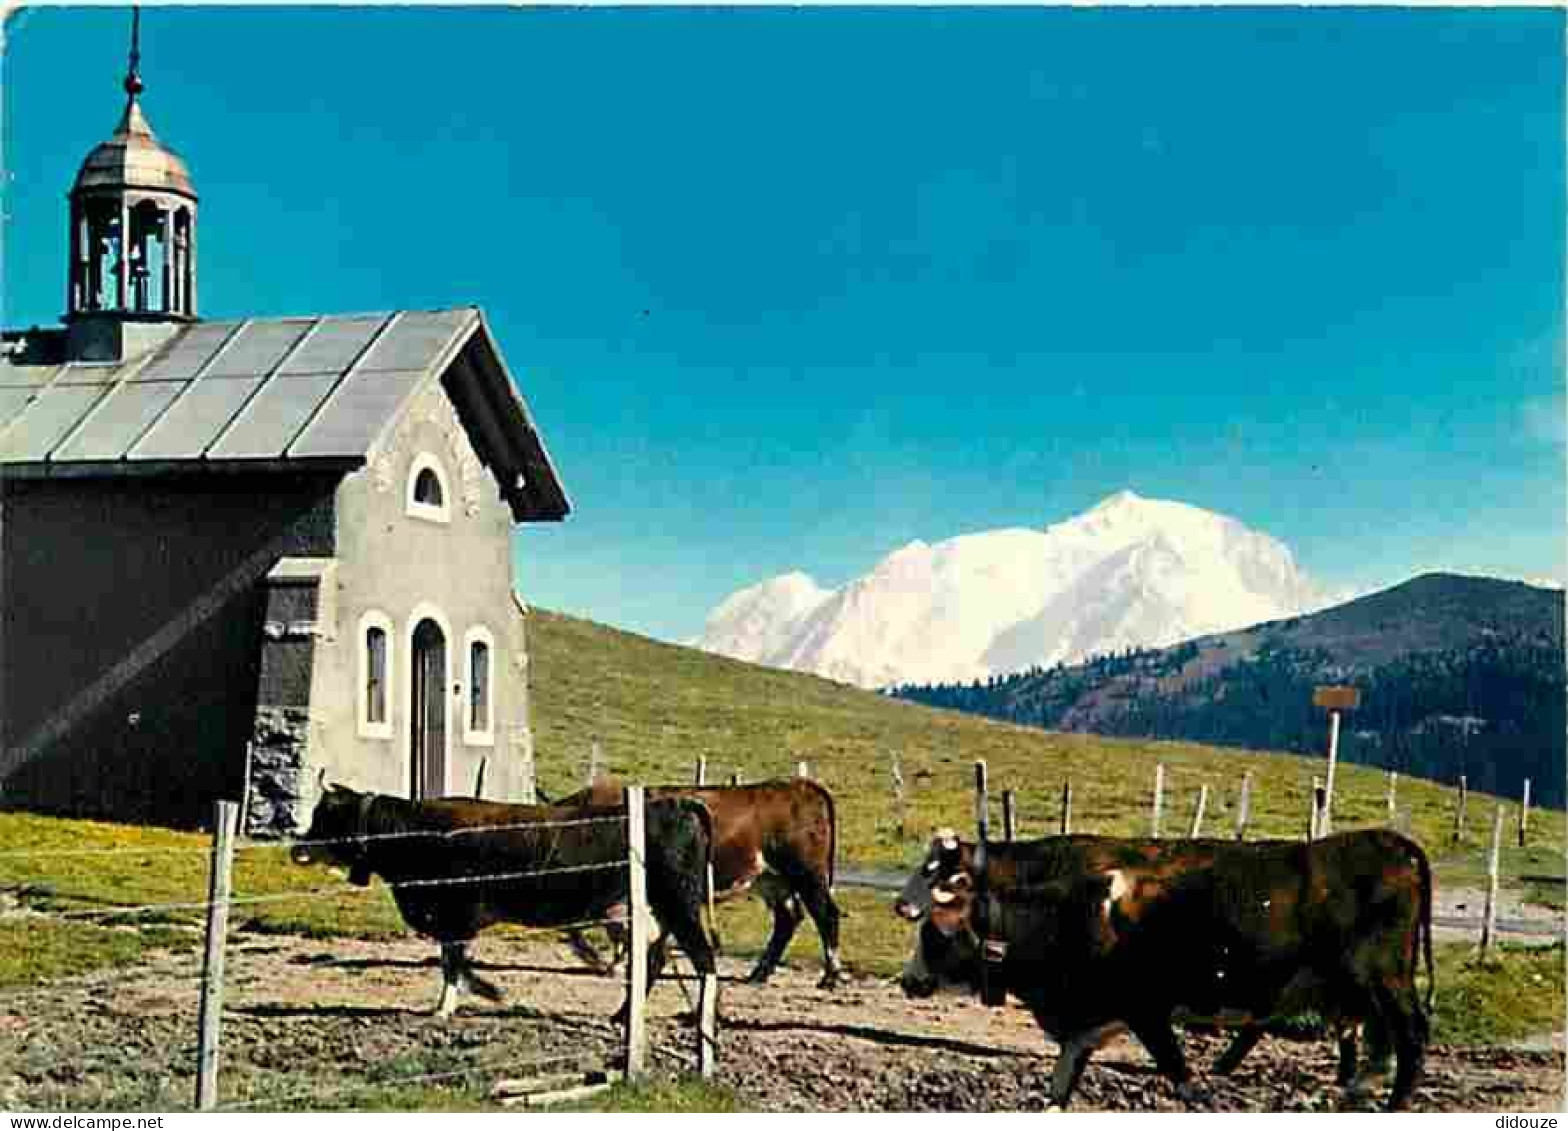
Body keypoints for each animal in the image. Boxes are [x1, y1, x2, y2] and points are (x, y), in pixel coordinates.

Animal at [291, 784, 715, 1016]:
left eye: (325, 817)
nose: (296, 847)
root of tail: (675, 804)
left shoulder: (457, 913)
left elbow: (452, 963)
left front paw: (452, 1005)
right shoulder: (451, 919)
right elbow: (452, 961)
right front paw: (478, 992)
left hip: (679, 905)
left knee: (703, 958)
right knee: (656, 960)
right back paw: (623, 1014)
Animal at [558, 778, 840, 991]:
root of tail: (799, 785)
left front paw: (601, 961)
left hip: (807, 874)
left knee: (826, 915)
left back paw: (830, 977)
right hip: (771, 880)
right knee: (787, 920)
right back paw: (759, 974)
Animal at [903, 821, 1430, 1104]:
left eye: (936, 874)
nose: (908, 980)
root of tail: (1393, 843)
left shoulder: (1144, 1012)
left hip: (1382, 979)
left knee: (1407, 1034)